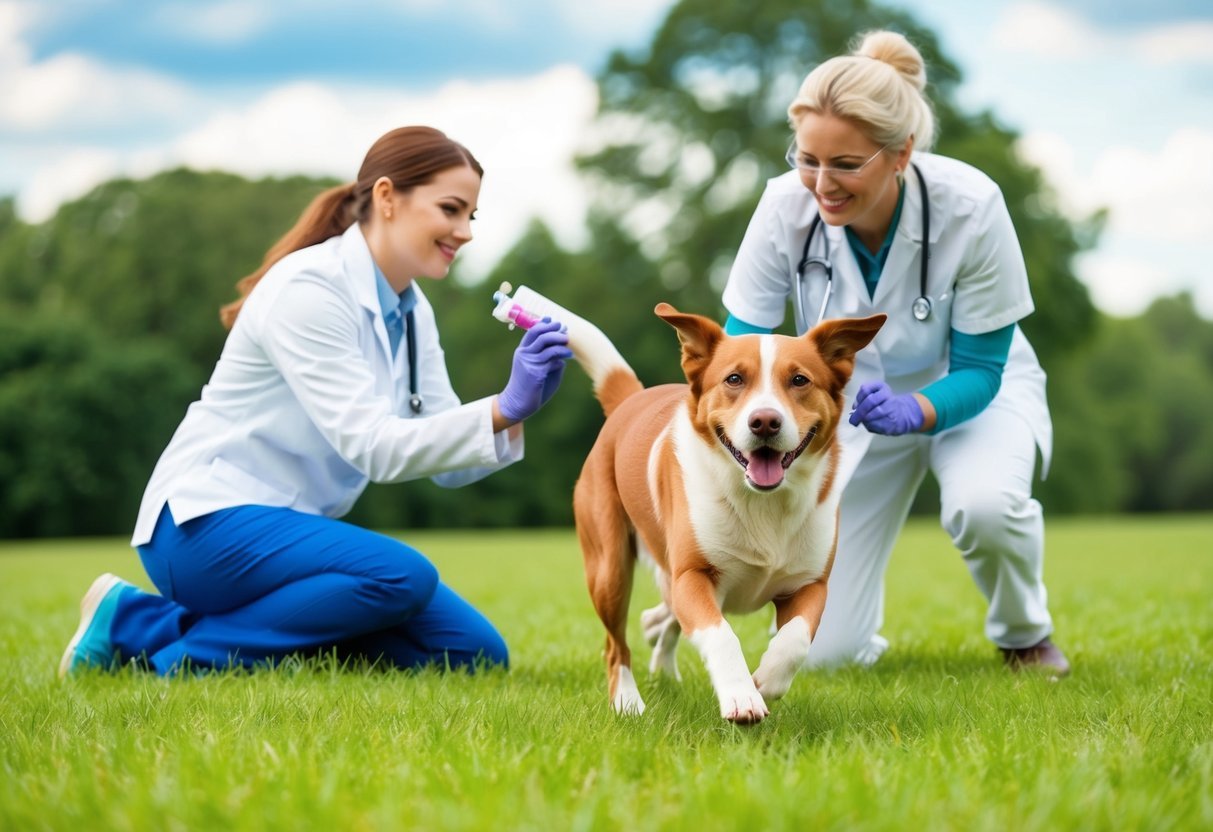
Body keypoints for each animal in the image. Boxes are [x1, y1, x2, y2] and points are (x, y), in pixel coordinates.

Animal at [567, 304, 883, 722]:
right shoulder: (692, 576)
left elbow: (796, 639)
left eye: (799, 379)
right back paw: (628, 702)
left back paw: (659, 651)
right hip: (610, 568)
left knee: (664, 616)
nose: (765, 421)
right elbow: (721, 635)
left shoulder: (810, 584)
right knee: (614, 645)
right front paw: (742, 696)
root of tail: (628, 402)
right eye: (734, 378)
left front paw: (764, 681)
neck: (763, 502)